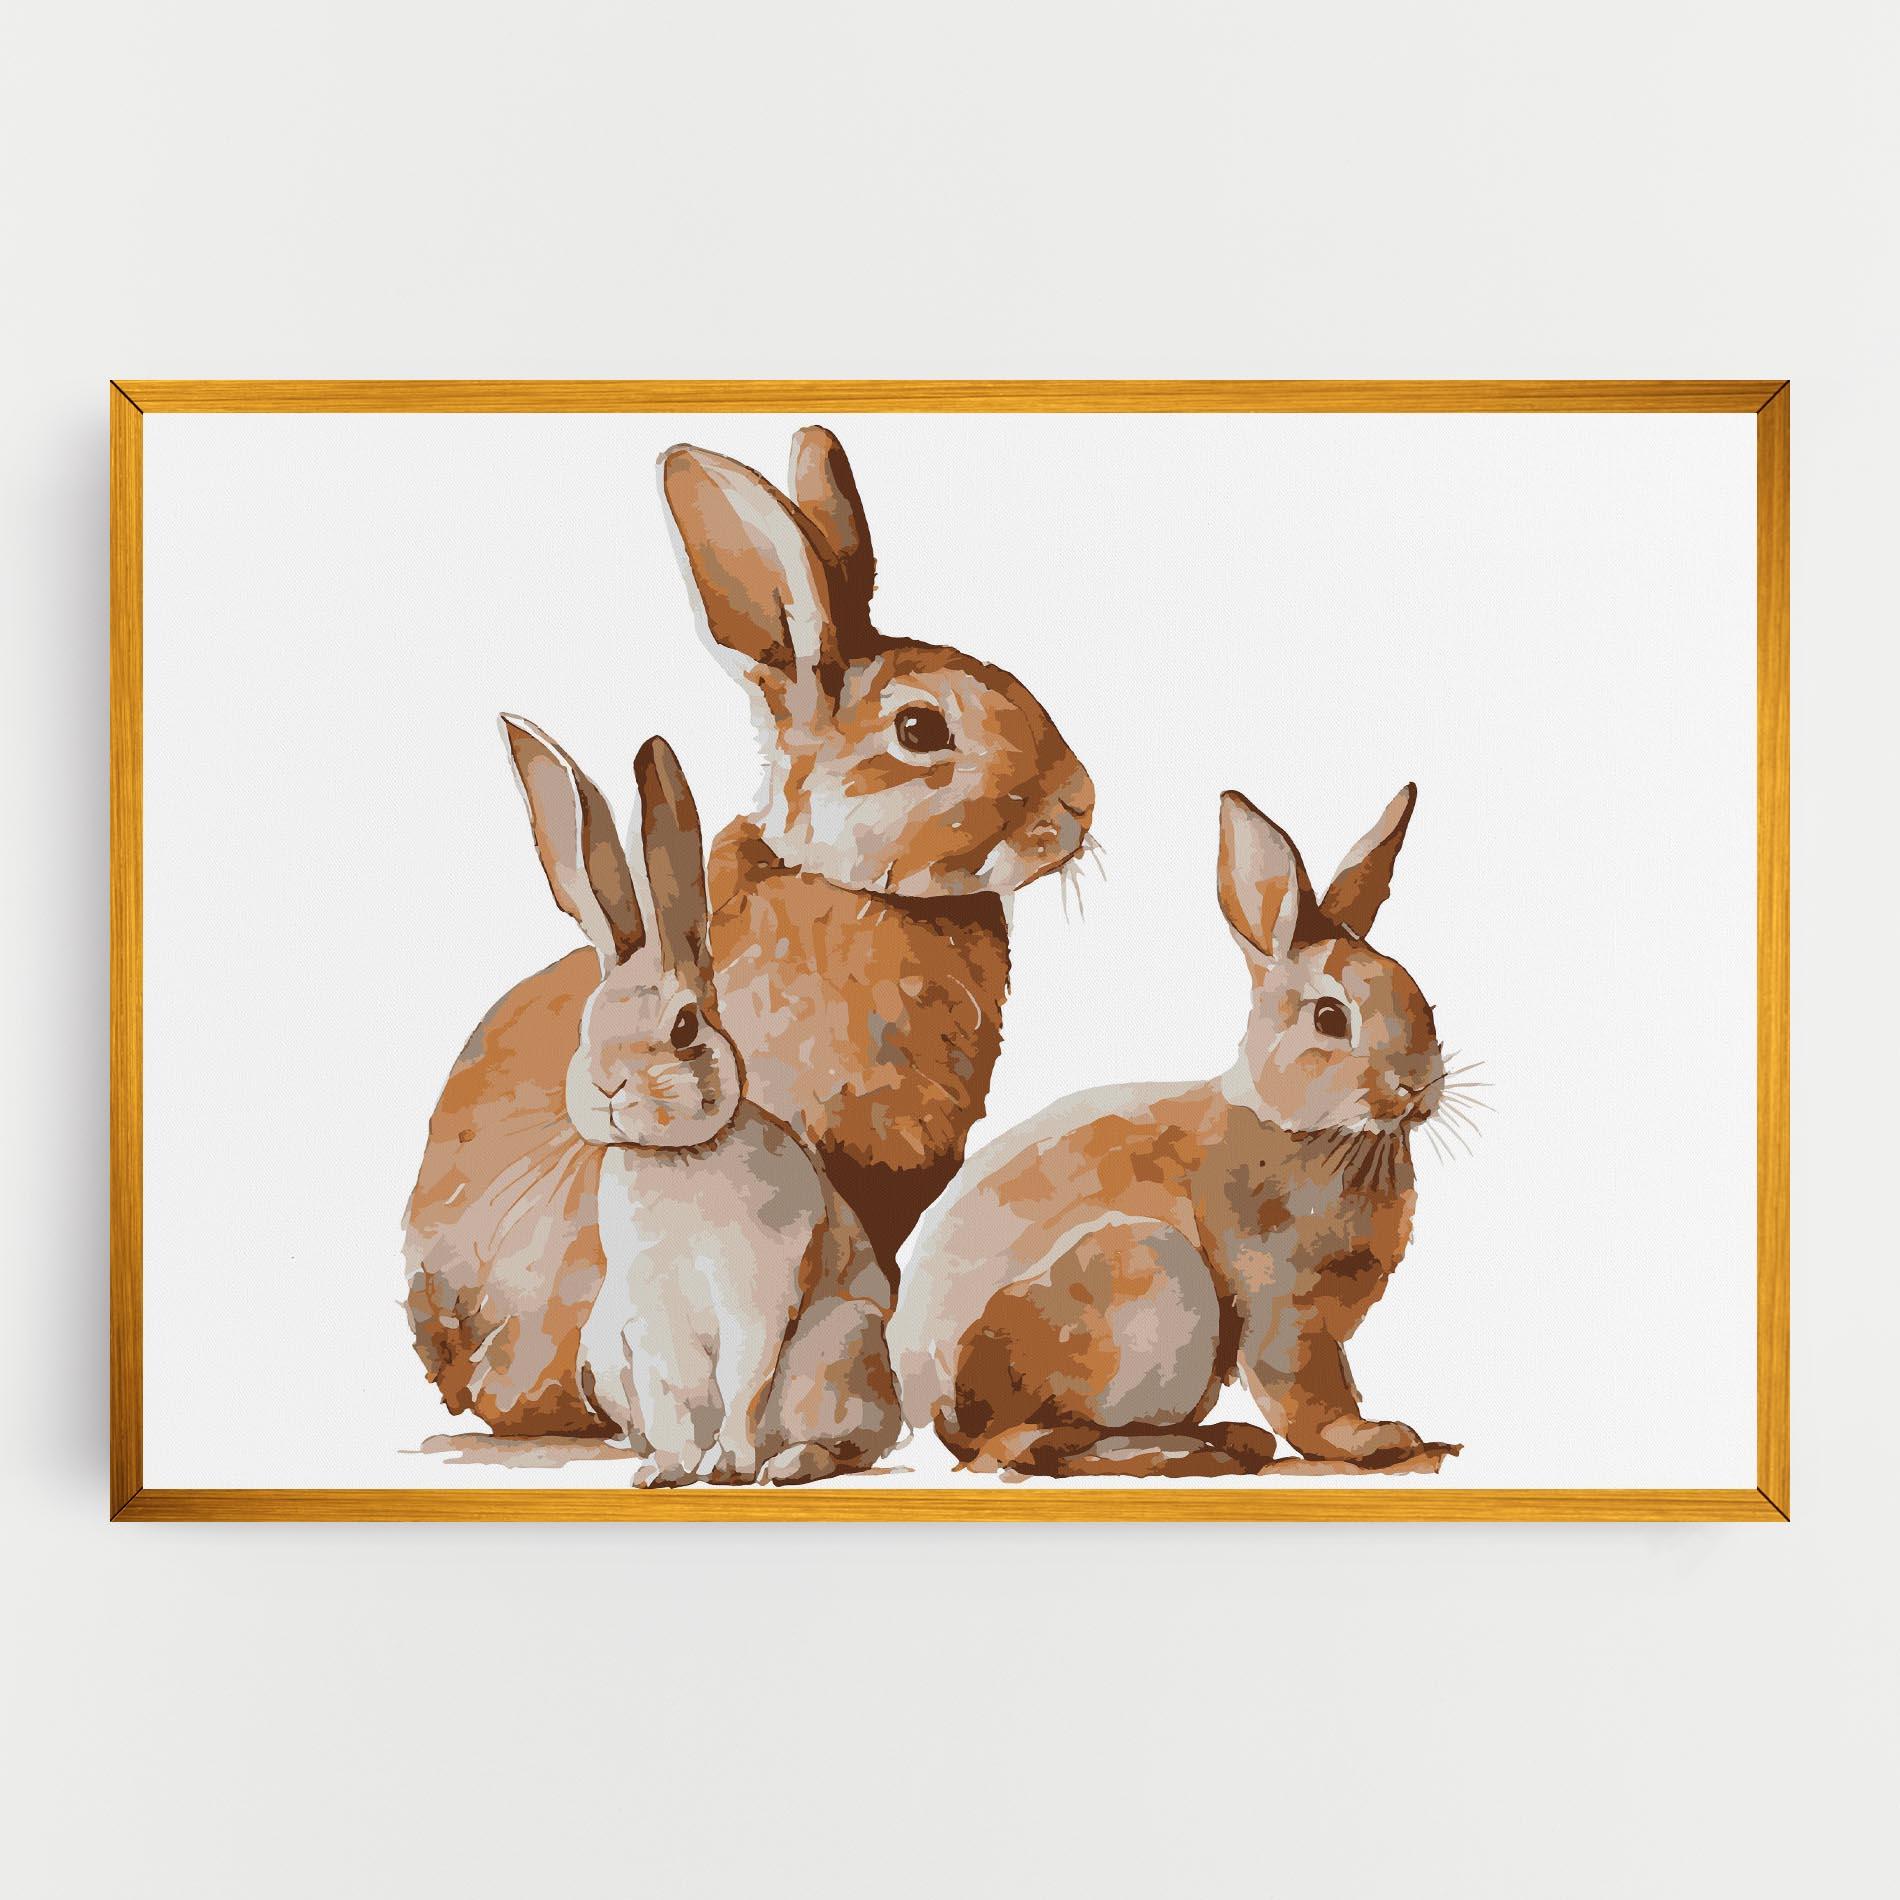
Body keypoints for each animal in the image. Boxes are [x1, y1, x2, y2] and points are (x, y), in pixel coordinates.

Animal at [404, 718, 900, 1484]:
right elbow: (671, 1396)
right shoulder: (648, 1319)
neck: (678, 1158)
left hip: (837, 1354)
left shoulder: (756, 1302)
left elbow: (744, 1384)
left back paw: (782, 1465)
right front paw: (667, 1472)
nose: (609, 1086)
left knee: (849, 1443)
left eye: (685, 1026)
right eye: (588, 1023)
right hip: (605, 1351)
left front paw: (727, 1466)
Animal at [888, 783, 1465, 1480]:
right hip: (1146, 1277)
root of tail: (931, 1405)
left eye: (1422, 997)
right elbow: (1307, 1398)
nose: (1418, 1086)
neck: (1320, 1131)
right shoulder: (1282, 1308)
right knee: (1026, 1445)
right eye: (1330, 1018)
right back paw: (1190, 1450)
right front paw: (1374, 1440)